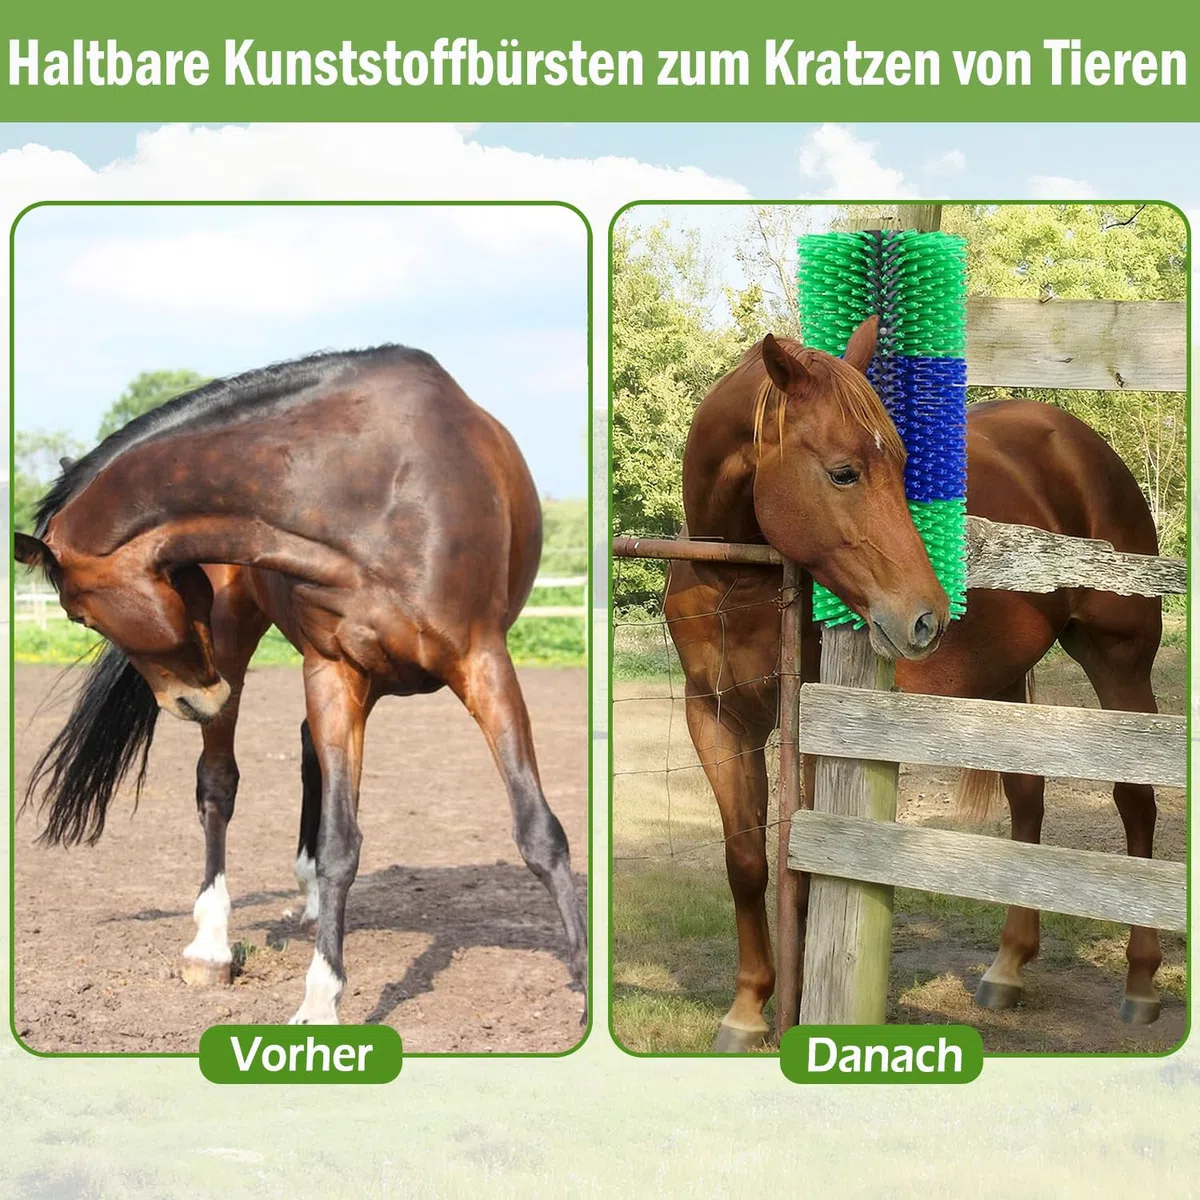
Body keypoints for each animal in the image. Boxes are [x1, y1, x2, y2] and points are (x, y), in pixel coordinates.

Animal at [15, 344, 588, 1029]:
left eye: (79, 615)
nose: (189, 703)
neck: (366, 495)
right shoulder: (333, 671)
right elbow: (341, 843)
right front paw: (319, 998)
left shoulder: (483, 662)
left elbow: (540, 831)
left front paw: (587, 988)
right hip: (235, 650)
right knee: (219, 786)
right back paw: (212, 944)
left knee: (306, 748)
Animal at [664, 320, 1163, 1052]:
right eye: (843, 472)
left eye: (903, 467)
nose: (926, 616)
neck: (737, 577)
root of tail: (1079, 443)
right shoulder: (717, 716)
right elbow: (746, 860)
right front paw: (749, 1008)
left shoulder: (818, 728)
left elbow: (805, 863)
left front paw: (801, 1001)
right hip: (1003, 678)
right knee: (1027, 799)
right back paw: (1008, 967)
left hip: (1121, 664)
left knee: (1135, 801)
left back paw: (1141, 981)